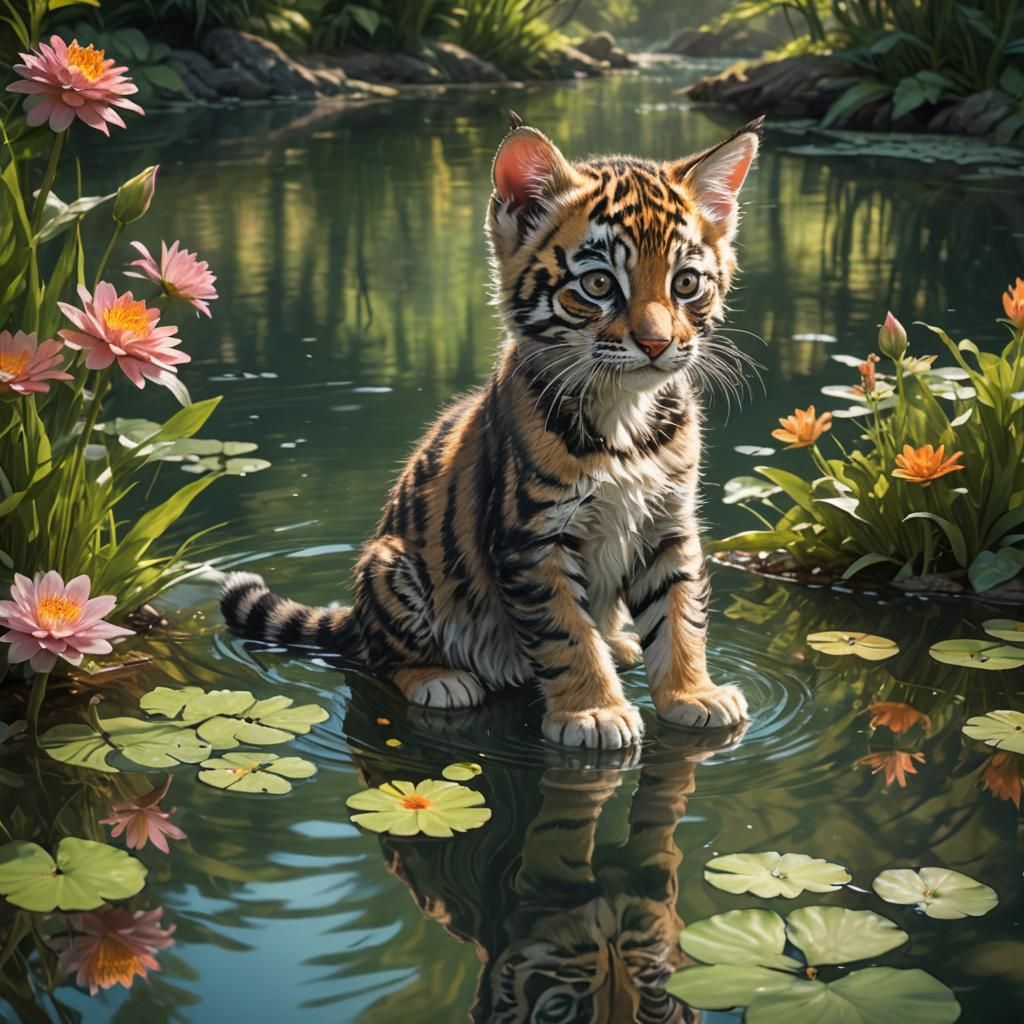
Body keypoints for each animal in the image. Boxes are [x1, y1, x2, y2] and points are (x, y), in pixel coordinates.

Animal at [221, 113, 763, 750]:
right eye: (600, 285)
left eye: (686, 283)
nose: (657, 344)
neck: (626, 414)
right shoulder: (533, 538)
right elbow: (566, 633)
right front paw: (594, 712)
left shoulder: (666, 524)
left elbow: (680, 614)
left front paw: (692, 695)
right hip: (390, 564)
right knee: (381, 657)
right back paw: (442, 679)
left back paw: (621, 641)